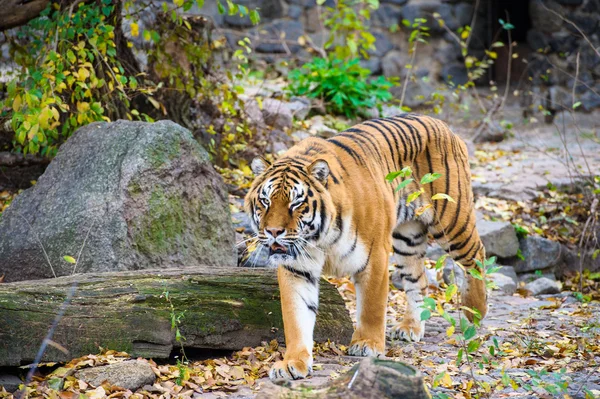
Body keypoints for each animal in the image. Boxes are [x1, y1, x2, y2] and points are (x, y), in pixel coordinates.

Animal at [244, 112, 488, 382]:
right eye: (265, 201)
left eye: (296, 203)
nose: (274, 232)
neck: (319, 238)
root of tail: (440, 123)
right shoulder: (297, 269)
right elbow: (296, 317)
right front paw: (292, 363)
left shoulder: (375, 257)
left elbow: (372, 307)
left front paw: (367, 345)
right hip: (408, 238)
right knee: (419, 280)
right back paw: (410, 327)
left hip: (451, 221)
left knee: (477, 255)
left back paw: (475, 311)